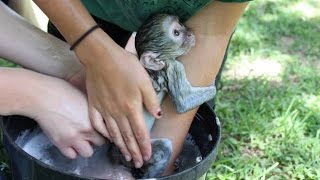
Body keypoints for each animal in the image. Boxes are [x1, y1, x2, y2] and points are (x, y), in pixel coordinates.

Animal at [109, 13, 216, 179]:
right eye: (176, 33)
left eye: (181, 25)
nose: (189, 34)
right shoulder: (173, 67)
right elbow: (183, 103)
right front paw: (213, 88)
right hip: (139, 152)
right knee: (163, 149)